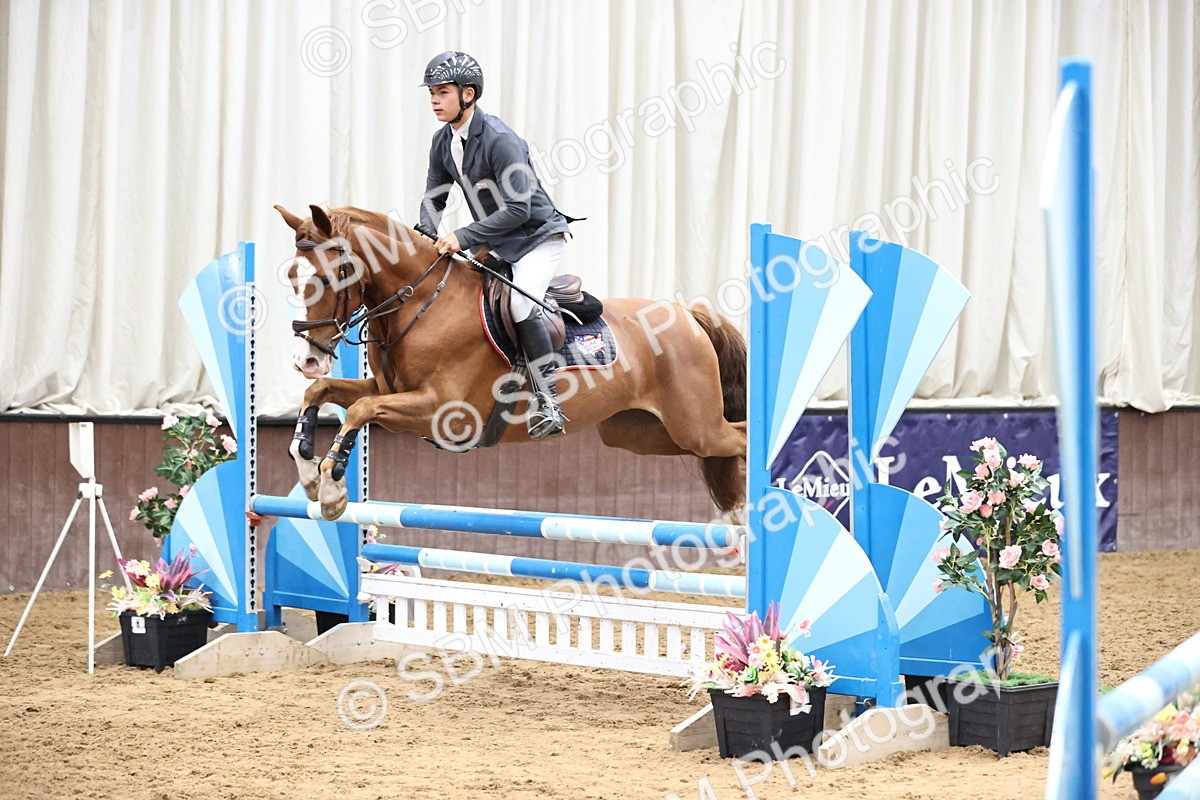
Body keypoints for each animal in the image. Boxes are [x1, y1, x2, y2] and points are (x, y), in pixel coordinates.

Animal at [274, 204, 747, 521]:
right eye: (292, 278)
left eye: (328, 278)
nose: (306, 359)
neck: (422, 302)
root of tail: (688, 315)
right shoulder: (391, 391)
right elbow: (325, 393)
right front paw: (310, 470)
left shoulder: (444, 411)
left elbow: (359, 410)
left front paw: (331, 488)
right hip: (641, 432)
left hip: (695, 425)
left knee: (740, 439)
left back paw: (747, 517)